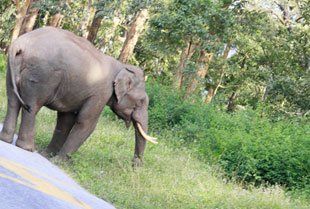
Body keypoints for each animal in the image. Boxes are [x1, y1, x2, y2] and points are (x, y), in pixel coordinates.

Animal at [0, 26, 157, 167]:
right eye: (141, 102)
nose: (135, 166)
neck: (122, 66)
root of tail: (21, 44)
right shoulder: (101, 93)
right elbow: (87, 123)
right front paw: (60, 162)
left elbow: (66, 120)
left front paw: (47, 155)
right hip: (41, 75)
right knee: (32, 106)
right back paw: (27, 148)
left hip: (12, 69)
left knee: (13, 101)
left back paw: (6, 140)